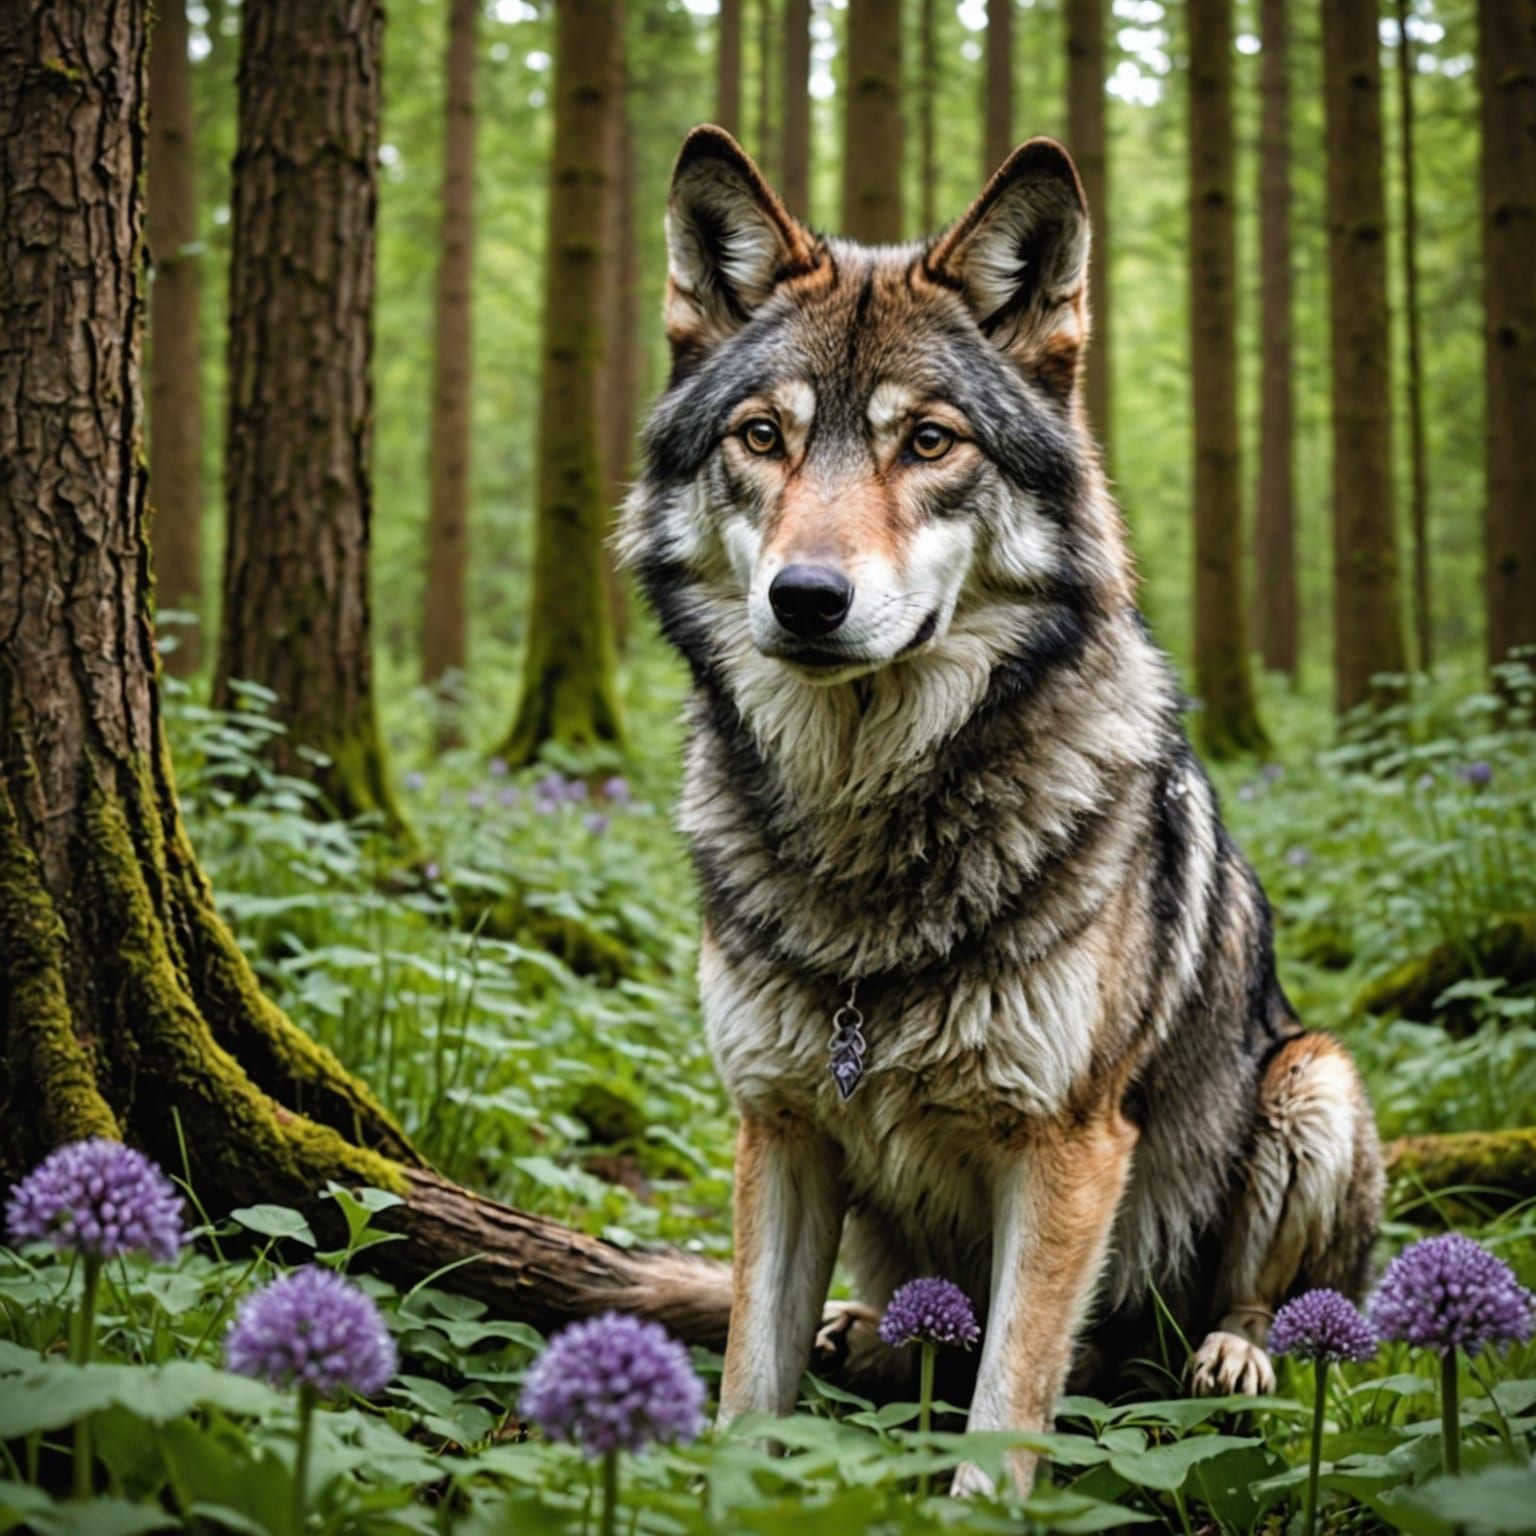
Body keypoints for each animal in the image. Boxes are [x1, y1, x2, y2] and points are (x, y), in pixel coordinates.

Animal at [617, 126, 1383, 1495]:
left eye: (930, 443)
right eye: (762, 436)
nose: (805, 598)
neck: (866, 827)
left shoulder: (1067, 1147)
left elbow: (1006, 1405)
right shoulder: (778, 1124)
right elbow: (748, 1391)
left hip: (1312, 1080)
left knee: (1287, 1305)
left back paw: (1234, 1355)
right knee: (890, 1321)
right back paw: (863, 1329)